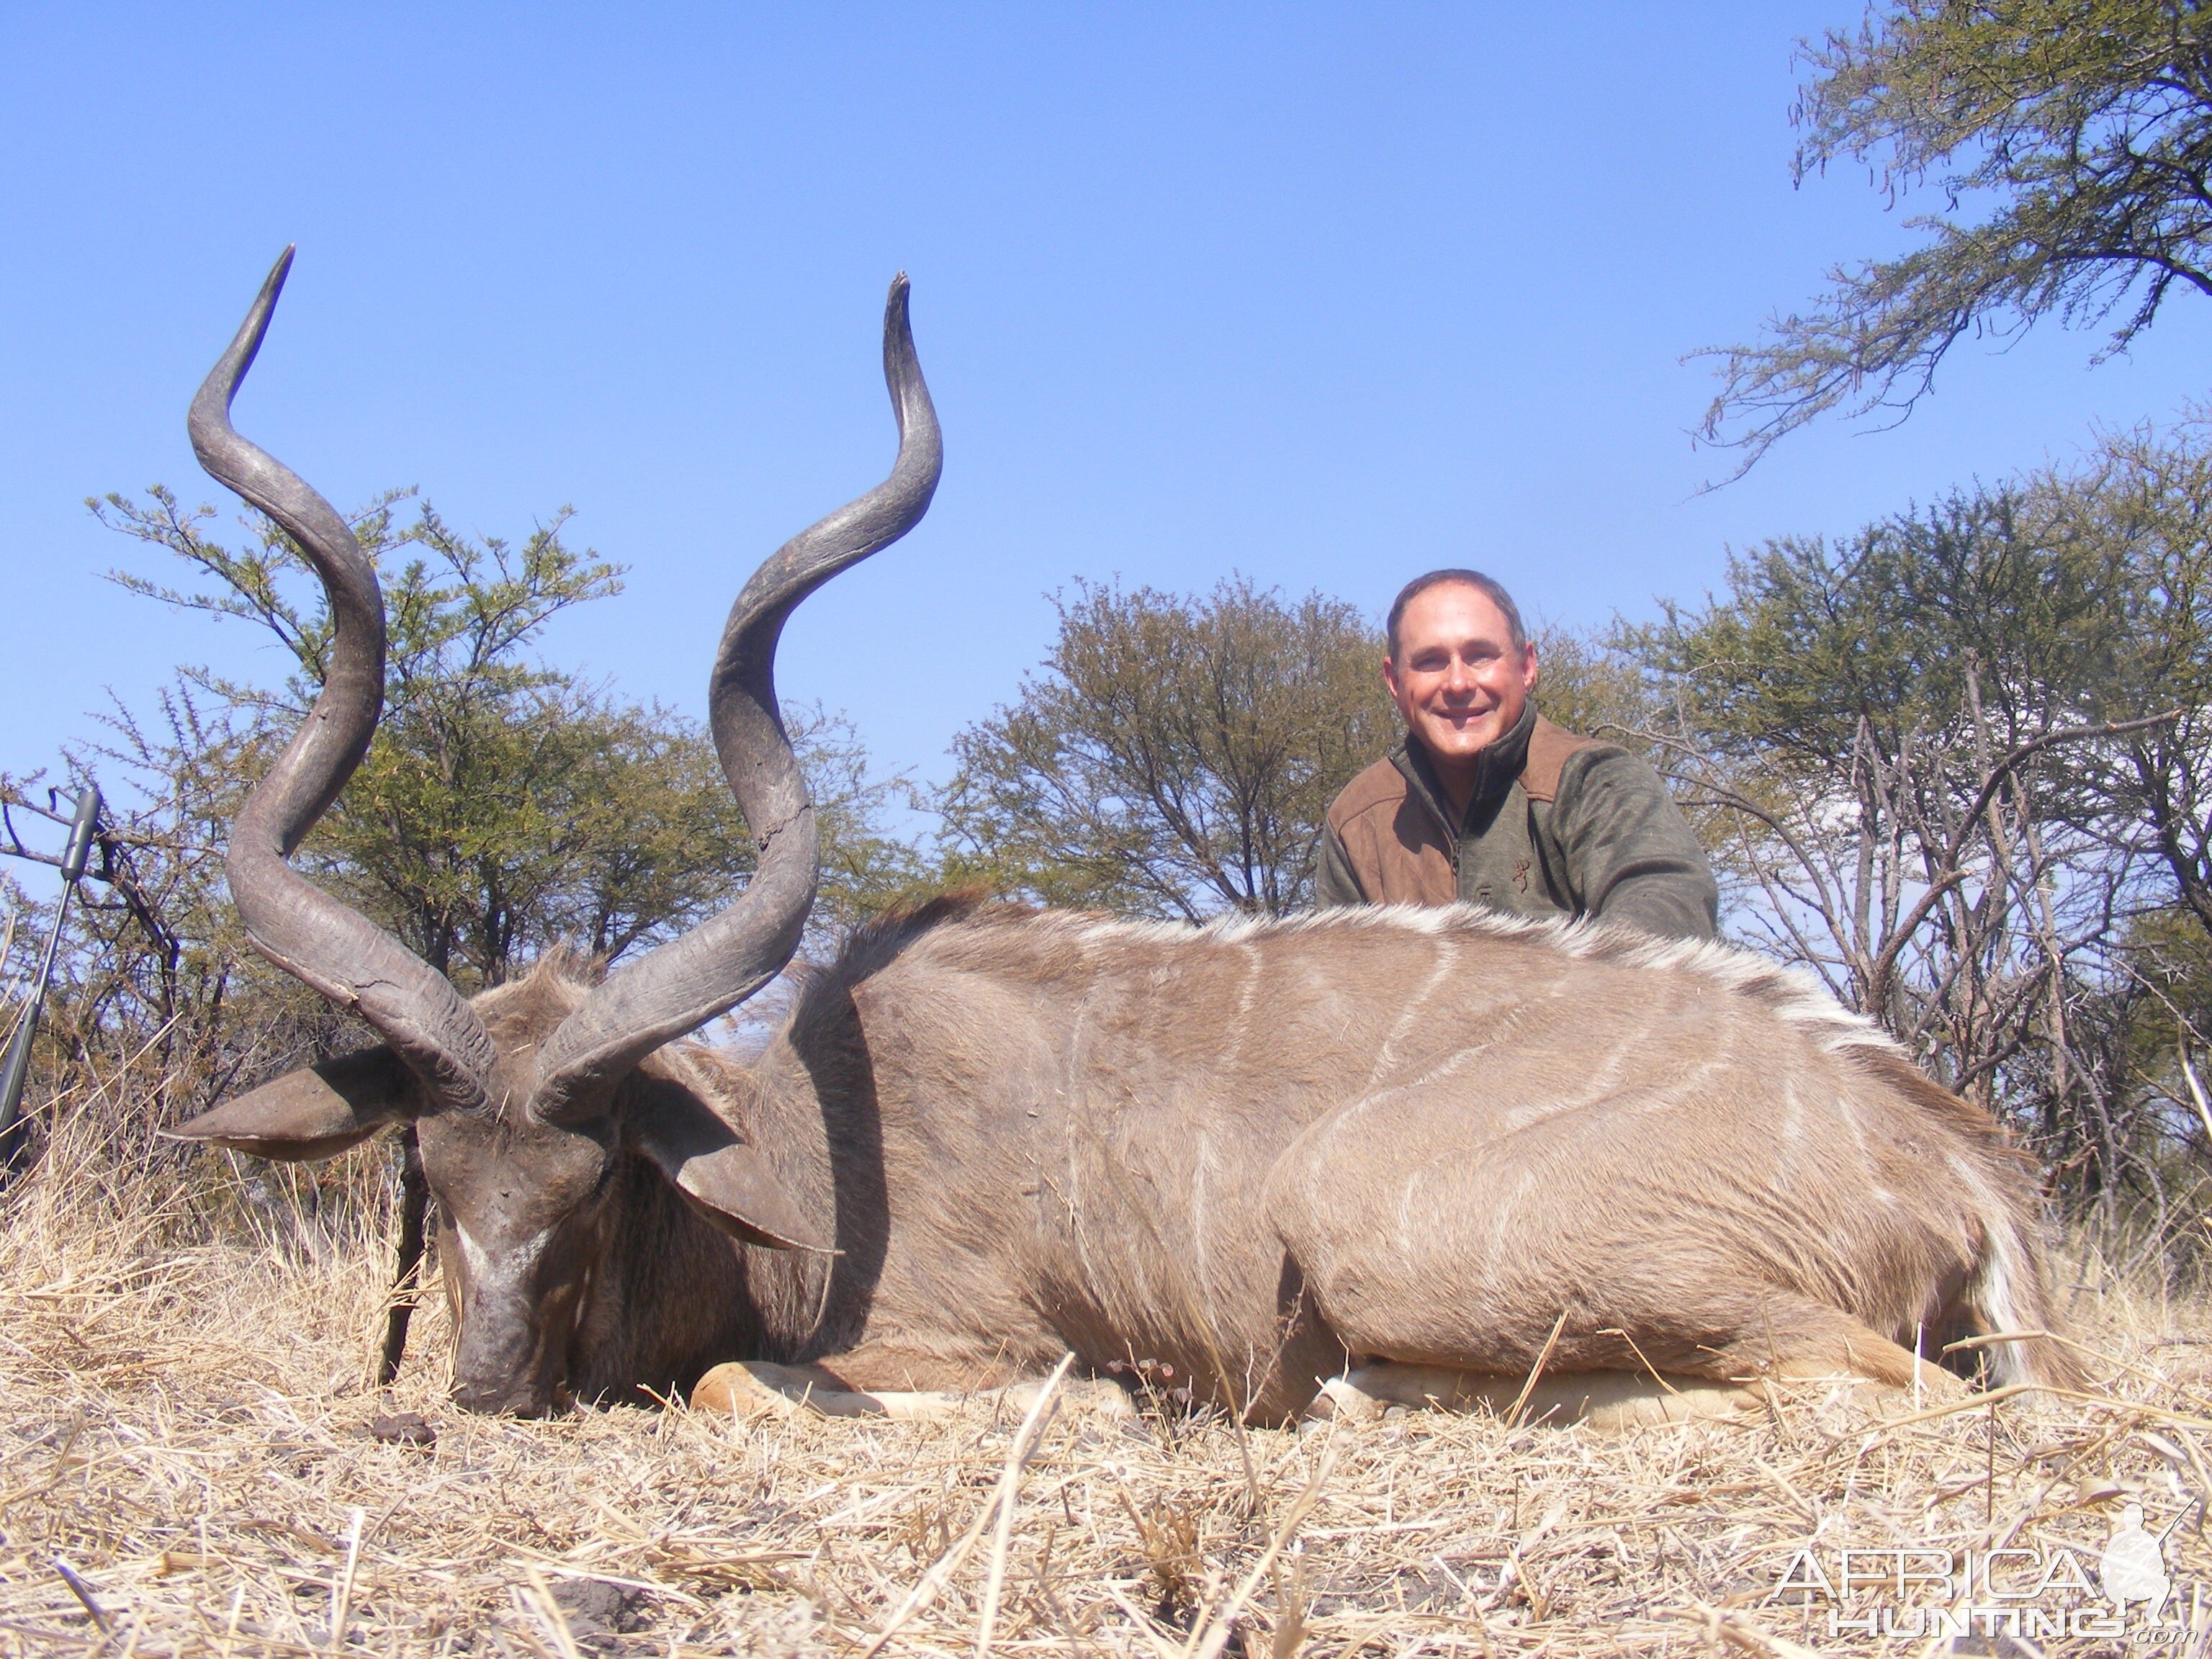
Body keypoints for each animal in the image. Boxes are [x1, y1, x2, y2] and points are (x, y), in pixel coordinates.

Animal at [168, 256, 2070, 1433]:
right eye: (433, 1173)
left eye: (600, 1176)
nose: (488, 1386)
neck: (806, 1159)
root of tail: (1951, 1155)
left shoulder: (949, 1339)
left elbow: (745, 1385)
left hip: (1390, 1237)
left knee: (1860, 1386)